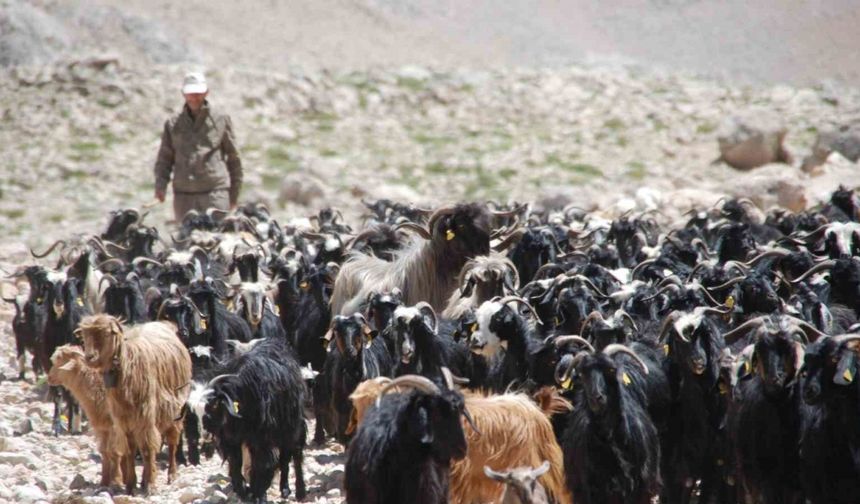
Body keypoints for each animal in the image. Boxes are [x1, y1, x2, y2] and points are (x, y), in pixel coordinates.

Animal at [48, 346, 123, 488]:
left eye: (60, 362)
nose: (49, 378)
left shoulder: (115, 426)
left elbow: (114, 451)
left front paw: (117, 479)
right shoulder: (102, 426)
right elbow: (104, 451)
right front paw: (104, 481)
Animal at [77, 314, 191, 494]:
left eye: (107, 333)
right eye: (84, 335)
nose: (90, 358)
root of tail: (165, 325)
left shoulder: (145, 416)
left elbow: (147, 450)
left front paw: (150, 485)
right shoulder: (124, 421)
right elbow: (130, 450)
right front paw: (131, 485)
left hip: (175, 408)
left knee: (172, 442)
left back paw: (171, 474)